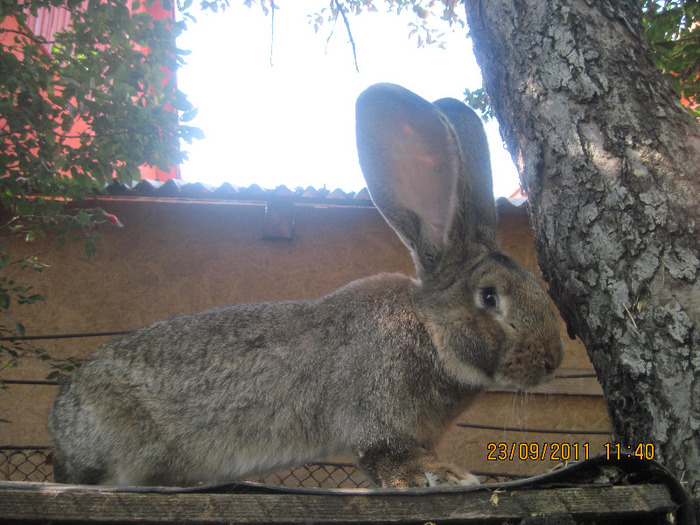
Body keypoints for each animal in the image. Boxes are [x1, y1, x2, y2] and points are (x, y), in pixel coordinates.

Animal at [47, 82, 564, 488]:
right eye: (490, 296)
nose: (552, 360)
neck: (430, 330)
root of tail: (61, 427)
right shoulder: (377, 420)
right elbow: (387, 459)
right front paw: (444, 476)